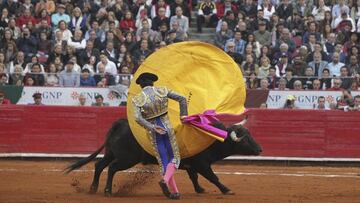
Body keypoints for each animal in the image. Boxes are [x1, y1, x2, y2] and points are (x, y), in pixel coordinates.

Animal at [65, 118, 262, 196]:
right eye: (245, 139)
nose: (260, 149)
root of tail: (120, 123)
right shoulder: (202, 164)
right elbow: (213, 177)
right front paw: (227, 190)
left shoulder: (191, 165)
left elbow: (194, 178)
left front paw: (200, 190)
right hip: (127, 159)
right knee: (112, 168)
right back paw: (107, 191)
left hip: (111, 153)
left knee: (99, 165)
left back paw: (93, 188)